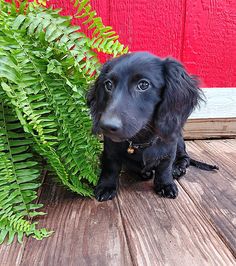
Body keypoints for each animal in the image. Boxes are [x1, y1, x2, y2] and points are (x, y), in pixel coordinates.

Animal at [86, 51, 218, 202]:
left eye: (143, 85)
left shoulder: (169, 148)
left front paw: (165, 184)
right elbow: (110, 167)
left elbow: (164, 168)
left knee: (185, 158)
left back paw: (178, 168)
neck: (140, 140)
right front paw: (106, 186)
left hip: (178, 138)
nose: (106, 126)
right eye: (108, 84)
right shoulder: (110, 150)